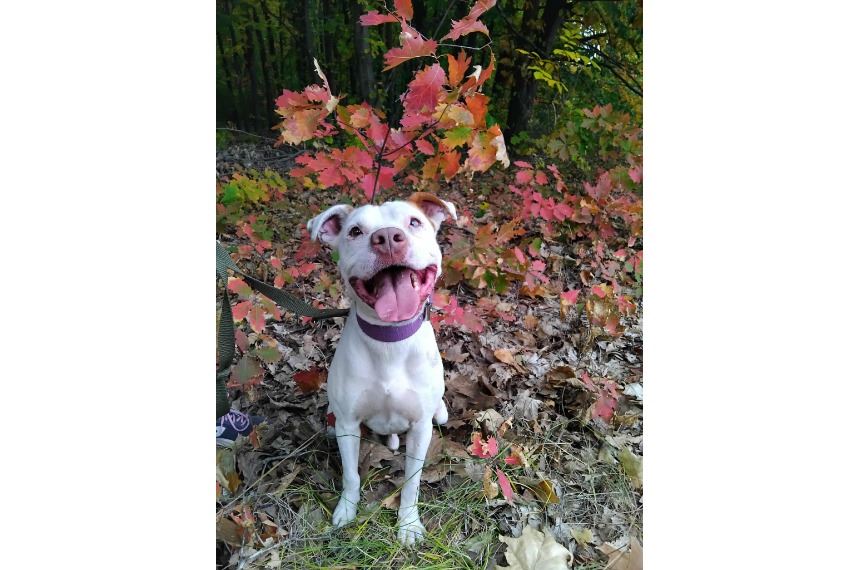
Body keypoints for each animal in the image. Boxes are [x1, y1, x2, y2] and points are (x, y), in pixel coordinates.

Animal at [306, 192, 455, 545]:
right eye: (355, 231)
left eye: (414, 222)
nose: (387, 238)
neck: (390, 340)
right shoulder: (347, 424)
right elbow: (350, 475)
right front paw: (346, 512)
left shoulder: (421, 429)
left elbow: (412, 482)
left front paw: (409, 524)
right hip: (335, 422)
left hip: (437, 416)